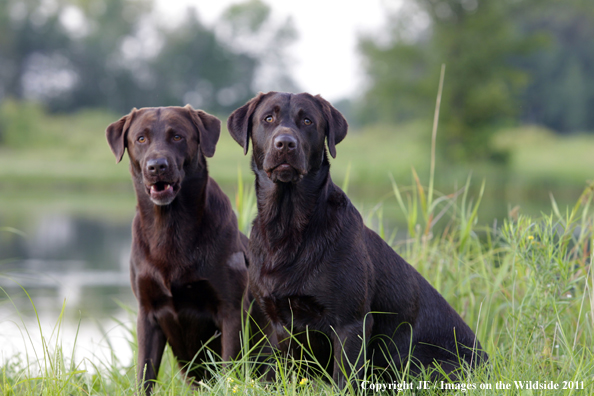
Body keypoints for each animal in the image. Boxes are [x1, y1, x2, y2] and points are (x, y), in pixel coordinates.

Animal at [106, 106, 254, 394]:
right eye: (141, 139)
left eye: (177, 137)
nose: (157, 166)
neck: (170, 228)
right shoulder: (147, 313)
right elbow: (144, 373)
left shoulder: (231, 310)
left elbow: (229, 368)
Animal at [225, 91, 486, 388]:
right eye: (268, 118)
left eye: (307, 121)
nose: (285, 143)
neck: (287, 227)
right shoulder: (275, 322)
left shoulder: (351, 322)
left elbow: (345, 379)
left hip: (422, 368)